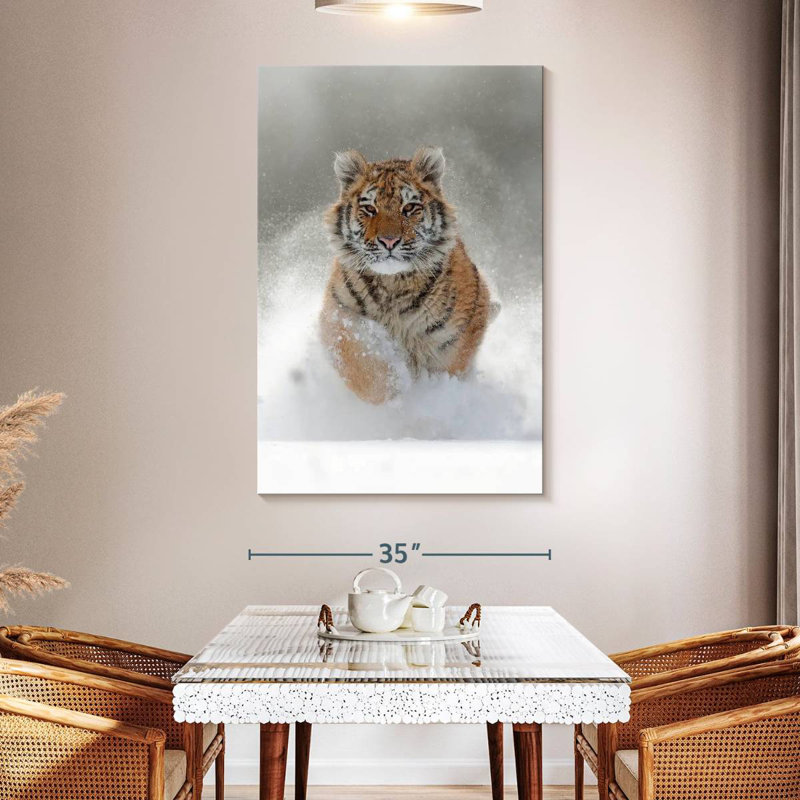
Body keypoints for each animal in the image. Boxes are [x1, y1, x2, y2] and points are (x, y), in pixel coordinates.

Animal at [320, 146, 497, 405]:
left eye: (409, 208)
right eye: (369, 209)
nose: (389, 241)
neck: (393, 284)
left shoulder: (455, 337)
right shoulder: (338, 314)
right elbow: (363, 365)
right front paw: (393, 391)